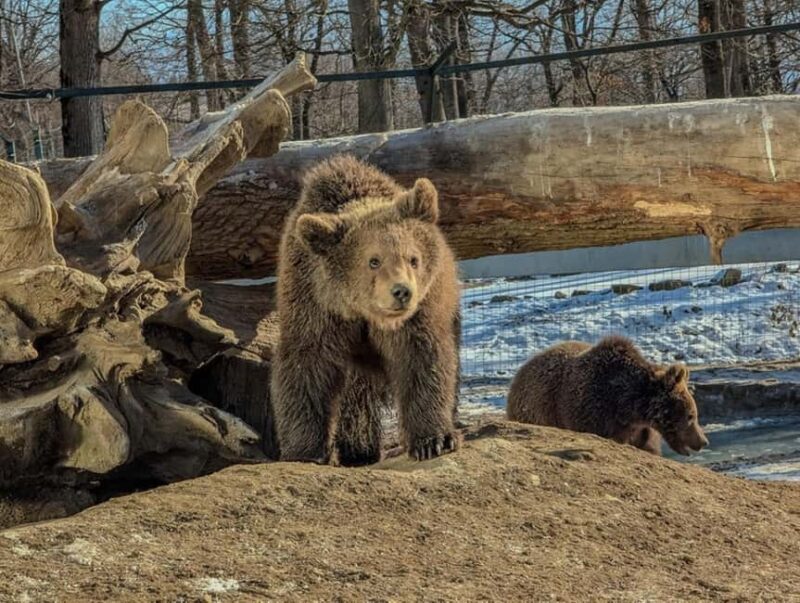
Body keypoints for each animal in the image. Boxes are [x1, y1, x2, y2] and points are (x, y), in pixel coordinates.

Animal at [271, 155, 461, 466]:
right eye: (373, 260)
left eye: (413, 258)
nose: (402, 291)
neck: (362, 312)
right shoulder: (315, 306)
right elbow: (306, 368)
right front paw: (304, 451)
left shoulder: (421, 314)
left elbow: (423, 363)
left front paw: (434, 440)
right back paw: (357, 451)